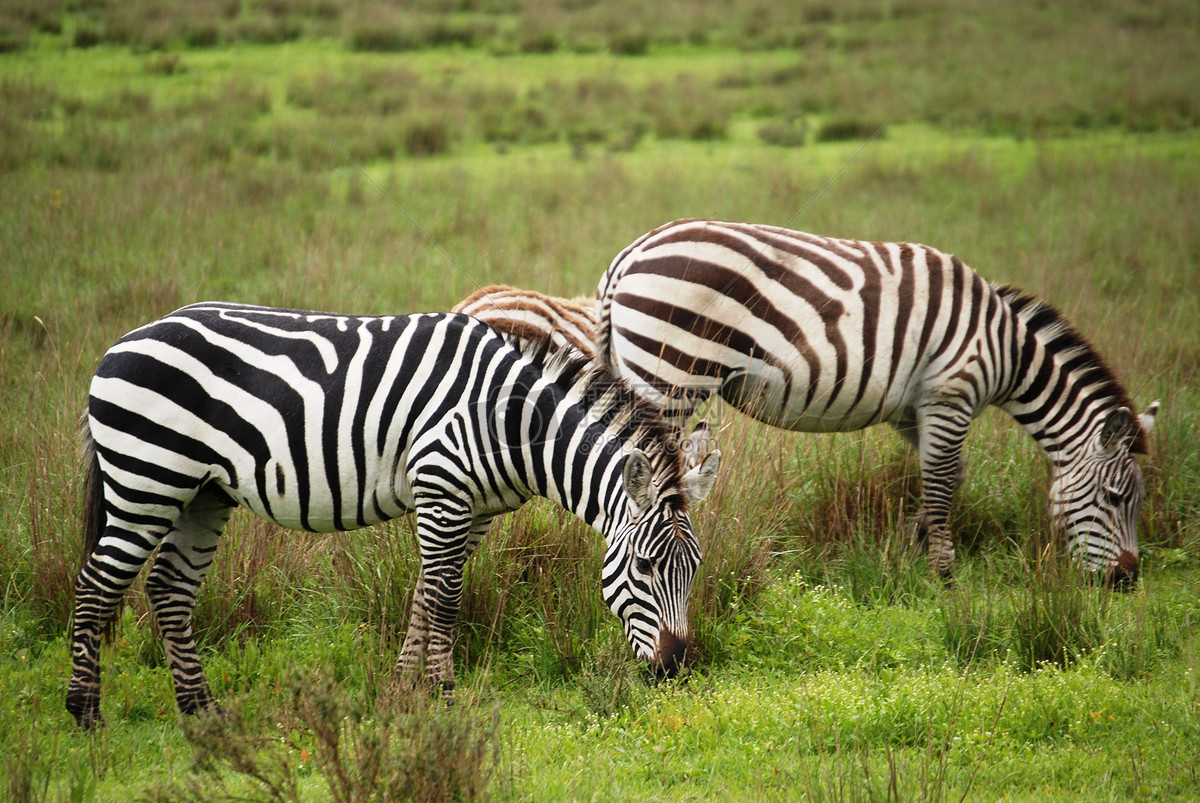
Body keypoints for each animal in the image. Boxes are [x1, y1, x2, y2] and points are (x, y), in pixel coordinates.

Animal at [65, 300, 715, 724]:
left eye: (694, 570)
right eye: (644, 566)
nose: (674, 670)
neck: (511, 420)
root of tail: (123, 341)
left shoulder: (473, 509)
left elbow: (425, 594)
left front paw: (405, 692)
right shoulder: (442, 486)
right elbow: (446, 599)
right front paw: (445, 697)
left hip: (203, 492)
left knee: (169, 587)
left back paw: (202, 711)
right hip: (147, 477)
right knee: (97, 584)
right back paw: (85, 714)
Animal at [595, 217, 1156, 583]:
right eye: (1116, 498)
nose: (1126, 581)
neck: (1007, 347)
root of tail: (629, 255)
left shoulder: (914, 411)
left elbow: (944, 479)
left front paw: (914, 543)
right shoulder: (950, 395)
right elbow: (943, 482)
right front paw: (943, 572)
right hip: (669, 373)